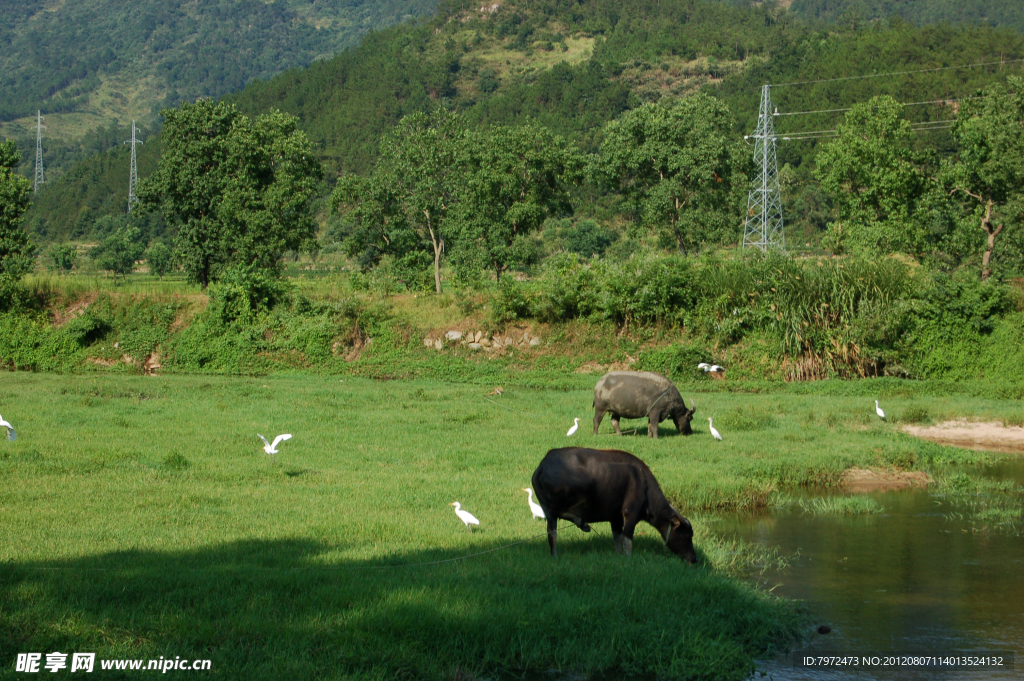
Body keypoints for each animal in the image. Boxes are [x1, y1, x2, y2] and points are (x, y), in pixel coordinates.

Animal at [532, 444, 700, 561]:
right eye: (687, 535)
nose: (694, 558)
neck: (644, 484)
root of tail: (543, 465)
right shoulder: (630, 514)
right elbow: (627, 540)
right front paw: (628, 558)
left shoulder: (615, 518)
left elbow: (617, 539)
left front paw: (618, 556)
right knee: (559, 512)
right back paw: (582, 523)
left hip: (547, 510)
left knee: (552, 534)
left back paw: (555, 555)